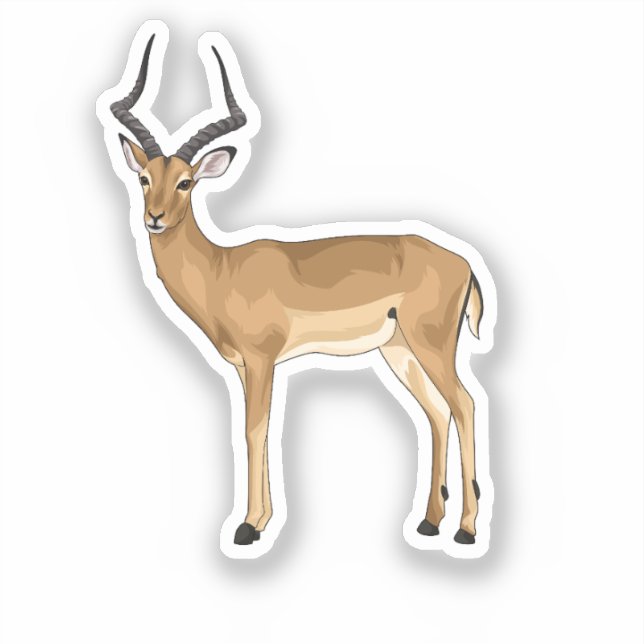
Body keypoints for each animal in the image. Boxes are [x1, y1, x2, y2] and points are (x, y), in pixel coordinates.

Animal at [102, 27, 494, 553]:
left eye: (186, 182)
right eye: (145, 178)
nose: (155, 218)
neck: (221, 268)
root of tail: (465, 262)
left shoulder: (263, 360)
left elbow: (253, 431)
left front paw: (247, 528)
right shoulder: (245, 367)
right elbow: (259, 432)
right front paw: (262, 521)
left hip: (431, 346)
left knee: (466, 404)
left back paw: (467, 531)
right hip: (400, 352)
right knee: (436, 412)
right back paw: (429, 523)